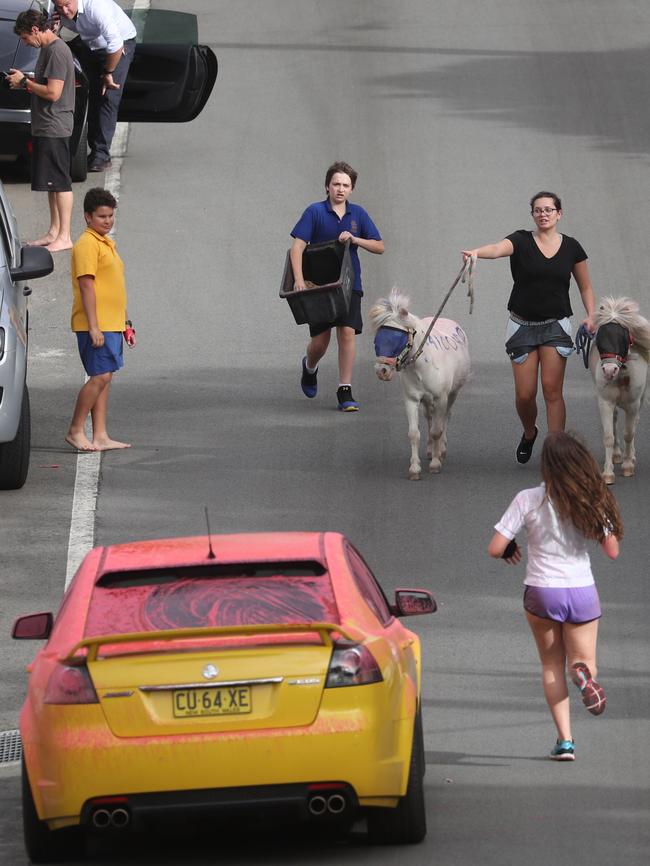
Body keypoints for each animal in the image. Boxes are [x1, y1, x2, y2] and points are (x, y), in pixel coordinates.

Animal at [368, 288, 468, 480]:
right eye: (377, 339)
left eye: (398, 338)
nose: (382, 371)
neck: (423, 365)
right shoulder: (411, 399)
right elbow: (414, 434)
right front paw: (415, 469)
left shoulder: (441, 398)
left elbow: (437, 430)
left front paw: (435, 464)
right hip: (427, 401)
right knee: (429, 418)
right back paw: (430, 450)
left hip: (452, 394)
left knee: (445, 418)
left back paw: (441, 450)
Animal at [588, 296, 648, 486]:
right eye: (600, 337)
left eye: (622, 336)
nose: (609, 370)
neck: (622, 375)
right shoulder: (605, 402)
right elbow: (609, 436)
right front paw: (608, 473)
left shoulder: (633, 404)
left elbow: (629, 433)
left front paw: (628, 466)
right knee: (614, 423)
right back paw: (616, 455)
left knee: (635, 423)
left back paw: (632, 456)